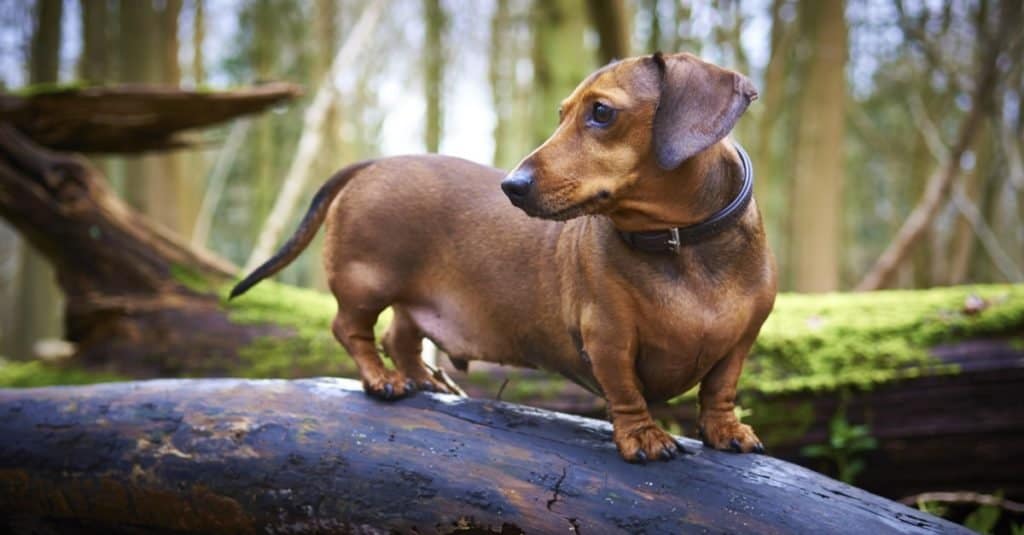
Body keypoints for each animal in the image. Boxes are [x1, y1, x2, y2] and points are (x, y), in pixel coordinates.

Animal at [232, 52, 774, 459]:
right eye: (562, 113)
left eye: (601, 112)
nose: (512, 186)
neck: (682, 243)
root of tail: (373, 163)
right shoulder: (608, 338)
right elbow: (625, 391)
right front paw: (643, 435)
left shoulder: (742, 338)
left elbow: (720, 386)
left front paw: (726, 430)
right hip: (367, 282)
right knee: (352, 329)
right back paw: (384, 379)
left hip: (414, 299)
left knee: (399, 335)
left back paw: (426, 381)